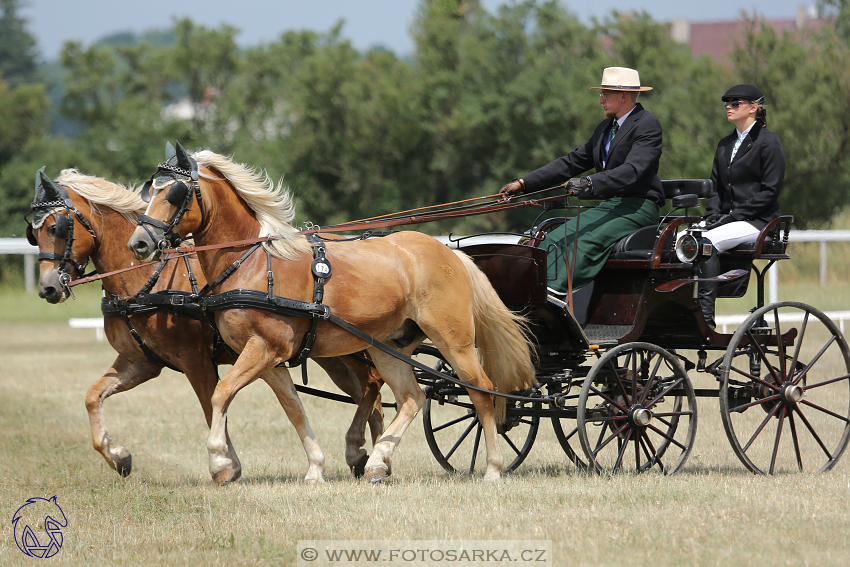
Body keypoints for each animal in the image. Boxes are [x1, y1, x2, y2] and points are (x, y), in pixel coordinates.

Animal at [26, 166, 382, 482]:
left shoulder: (194, 360)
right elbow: (92, 396)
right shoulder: (140, 362)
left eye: (57, 228)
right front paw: (118, 456)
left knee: (372, 385)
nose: (47, 288)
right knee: (372, 391)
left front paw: (224, 465)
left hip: (346, 348)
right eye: (34, 233)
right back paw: (371, 455)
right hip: (333, 353)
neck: (147, 281)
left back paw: (368, 453)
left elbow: (212, 405)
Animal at [126, 144, 532, 482]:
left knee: (482, 391)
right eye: (151, 190)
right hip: (390, 347)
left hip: (454, 341)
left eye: (174, 193)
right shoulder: (270, 360)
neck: (252, 262)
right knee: (412, 397)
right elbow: (294, 409)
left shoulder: (263, 349)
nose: (139, 243)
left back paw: (493, 468)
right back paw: (378, 462)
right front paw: (316, 468)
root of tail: (449, 253)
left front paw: (219, 461)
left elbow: (220, 393)